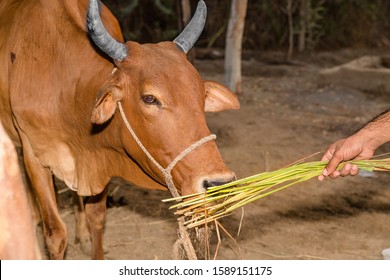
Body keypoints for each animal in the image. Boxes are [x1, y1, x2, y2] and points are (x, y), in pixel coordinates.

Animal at [0, 0, 239, 260]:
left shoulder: (99, 159)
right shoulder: (34, 153)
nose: (218, 184)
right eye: (149, 98)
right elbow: (55, 234)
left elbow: (96, 216)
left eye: (201, 95)